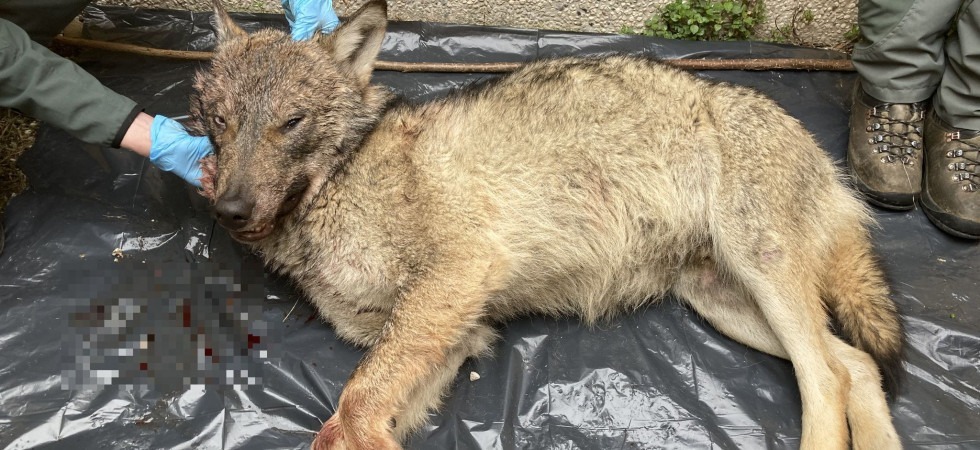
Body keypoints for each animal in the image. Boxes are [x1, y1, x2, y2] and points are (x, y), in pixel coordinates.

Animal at [190, 1, 905, 448]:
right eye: (218, 120)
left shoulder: (453, 280)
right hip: (726, 303)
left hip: (761, 275)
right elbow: (342, 426)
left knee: (826, 378)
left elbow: (353, 405)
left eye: (291, 122)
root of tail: (822, 157)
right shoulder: (458, 334)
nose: (228, 211)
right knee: (856, 365)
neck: (341, 183)